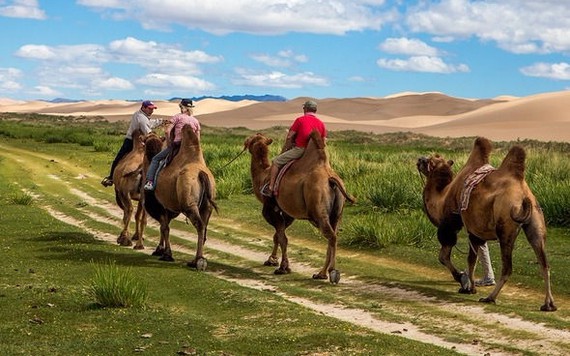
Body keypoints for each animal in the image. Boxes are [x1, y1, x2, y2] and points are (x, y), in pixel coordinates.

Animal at [142, 125, 215, 270]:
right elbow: (164, 227)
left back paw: (199, 261)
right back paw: (195, 260)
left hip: (190, 205)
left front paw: (165, 254)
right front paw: (161, 250)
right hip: (207, 206)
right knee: (204, 227)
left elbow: (164, 228)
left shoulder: (159, 205)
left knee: (199, 225)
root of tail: (201, 174)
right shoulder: (168, 208)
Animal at [242, 131, 352, 284]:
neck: (263, 176)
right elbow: (278, 235)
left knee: (331, 236)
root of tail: (331, 180)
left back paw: (332, 272)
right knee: (333, 235)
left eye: (251, 139)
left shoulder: (269, 209)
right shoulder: (288, 213)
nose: (245, 141)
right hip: (337, 213)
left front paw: (283, 268)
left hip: (318, 209)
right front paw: (272, 260)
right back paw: (321, 273)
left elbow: (282, 238)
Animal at [414, 138, 552, 310]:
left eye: (429, 161)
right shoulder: (475, 230)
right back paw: (548, 304)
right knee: (544, 264)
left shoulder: (452, 225)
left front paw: (464, 282)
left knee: (507, 268)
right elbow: (473, 259)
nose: (419, 159)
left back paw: (490, 297)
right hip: (536, 222)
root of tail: (523, 194)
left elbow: (448, 257)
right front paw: (468, 285)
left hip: (505, 226)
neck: (442, 197)